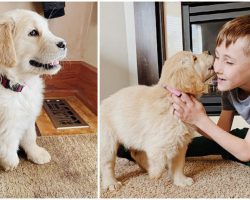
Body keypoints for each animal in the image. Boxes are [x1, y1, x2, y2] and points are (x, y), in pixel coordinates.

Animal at [0, 9, 66, 171]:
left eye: (48, 29)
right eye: (33, 33)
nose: (64, 44)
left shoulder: (29, 117)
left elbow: (30, 136)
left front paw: (36, 153)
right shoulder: (7, 121)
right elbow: (8, 141)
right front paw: (10, 162)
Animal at [100, 50, 214, 191]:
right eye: (194, 58)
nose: (208, 51)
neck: (171, 96)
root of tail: (104, 102)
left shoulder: (180, 143)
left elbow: (178, 164)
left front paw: (180, 180)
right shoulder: (159, 140)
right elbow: (159, 157)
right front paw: (155, 173)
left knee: (135, 153)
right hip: (108, 139)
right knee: (107, 162)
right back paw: (111, 183)